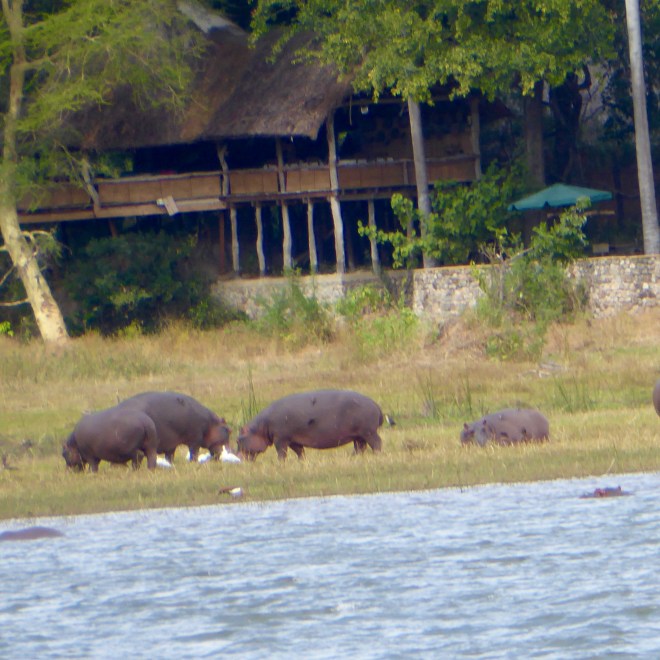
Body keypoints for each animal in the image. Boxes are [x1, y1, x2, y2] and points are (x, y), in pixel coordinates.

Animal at [237, 389, 384, 461]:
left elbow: (281, 452)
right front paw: (302, 461)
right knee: (360, 447)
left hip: (368, 432)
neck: (260, 428)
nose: (237, 458)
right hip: (359, 435)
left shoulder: (281, 438)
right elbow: (299, 452)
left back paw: (376, 455)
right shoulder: (293, 440)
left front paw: (280, 463)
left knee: (376, 443)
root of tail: (375, 404)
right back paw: (353, 457)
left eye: (238, 440)